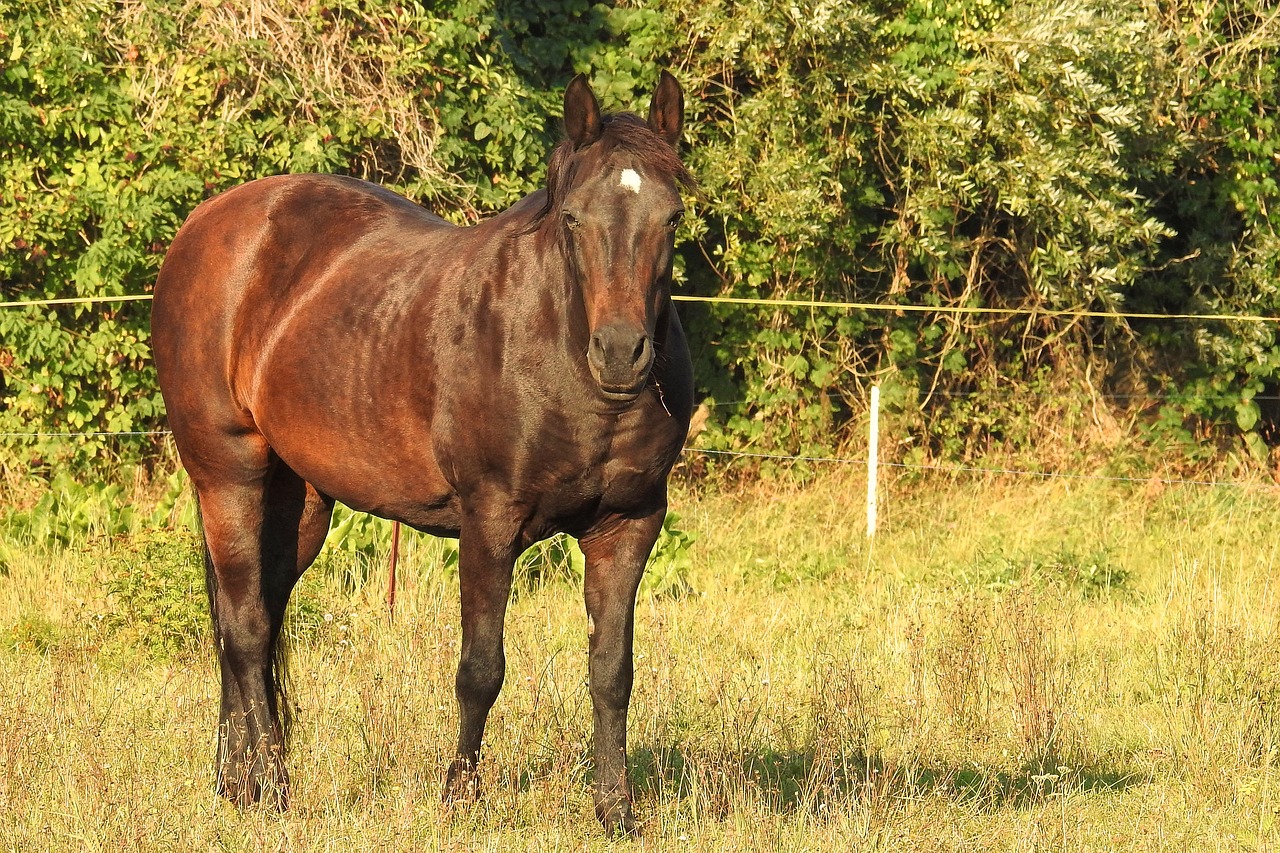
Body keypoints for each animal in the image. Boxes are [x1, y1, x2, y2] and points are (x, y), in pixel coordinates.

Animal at [152, 73, 701, 829]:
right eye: (573, 220)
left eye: (671, 218)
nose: (621, 353)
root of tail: (207, 224)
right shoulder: (490, 521)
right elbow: (481, 668)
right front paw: (460, 797)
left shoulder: (629, 525)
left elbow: (612, 671)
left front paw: (616, 811)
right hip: (226, 475)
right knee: (246, 627)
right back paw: (274, 789)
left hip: (299, 502)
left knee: (254, 625)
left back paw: (239, 784)